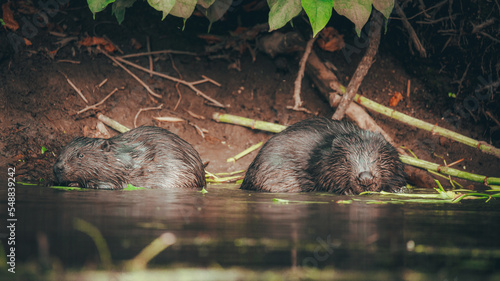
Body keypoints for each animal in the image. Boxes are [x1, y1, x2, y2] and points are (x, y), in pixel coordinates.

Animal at [53, 126, 205, 189]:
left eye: (80, 155)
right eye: (62, 151)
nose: (58, 167)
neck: (118, 160)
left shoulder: (118, 177)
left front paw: (75, 184)